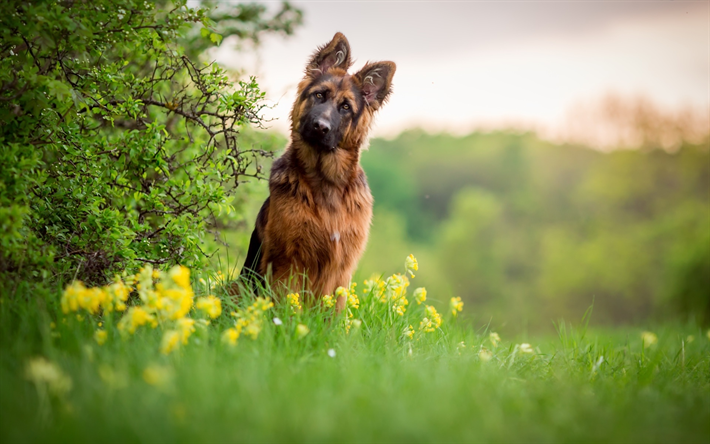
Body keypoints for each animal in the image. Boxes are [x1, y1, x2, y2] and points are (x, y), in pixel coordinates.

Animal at [238, 31, 394, 310]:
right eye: (319, 95)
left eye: (345, 107)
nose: (320, 127)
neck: (326, 182)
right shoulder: (288, 261)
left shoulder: (341, 269)